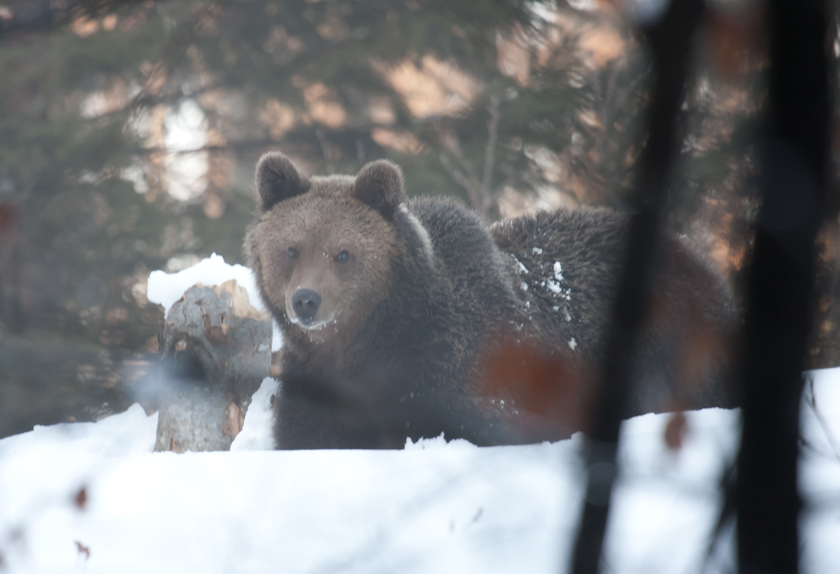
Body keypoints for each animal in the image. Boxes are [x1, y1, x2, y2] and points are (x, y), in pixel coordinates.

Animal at [246, 152, 732, 450]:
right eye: (292, 249)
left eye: (343, 253)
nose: (306, 300)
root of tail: (695, 257)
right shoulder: (320, 385)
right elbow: (308, 434)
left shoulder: (461, 367)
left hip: (667, 338)